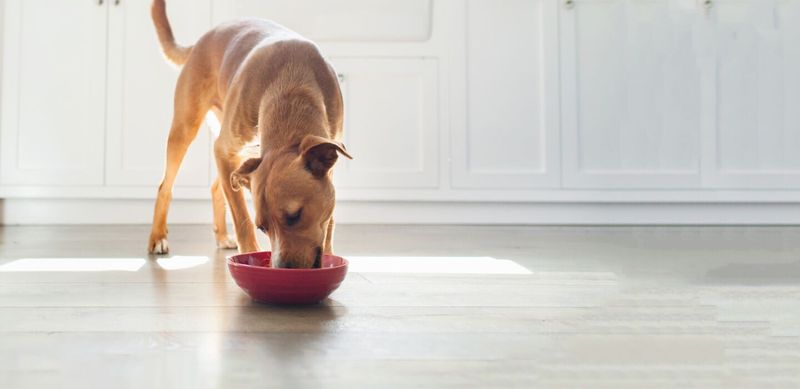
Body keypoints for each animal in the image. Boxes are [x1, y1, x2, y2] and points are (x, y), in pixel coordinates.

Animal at [146, 0, 350, 266]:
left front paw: (329, 254)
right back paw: (158, 237)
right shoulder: (224, 151)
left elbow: (330, 220)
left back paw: (222, 237)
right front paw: (249, 253)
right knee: (166, 187)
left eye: (295, 215)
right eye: (263, 227)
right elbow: (241, 218)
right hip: (185, 128)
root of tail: (200, 42)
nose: (282, 269)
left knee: (217, 188)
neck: (292, 86)